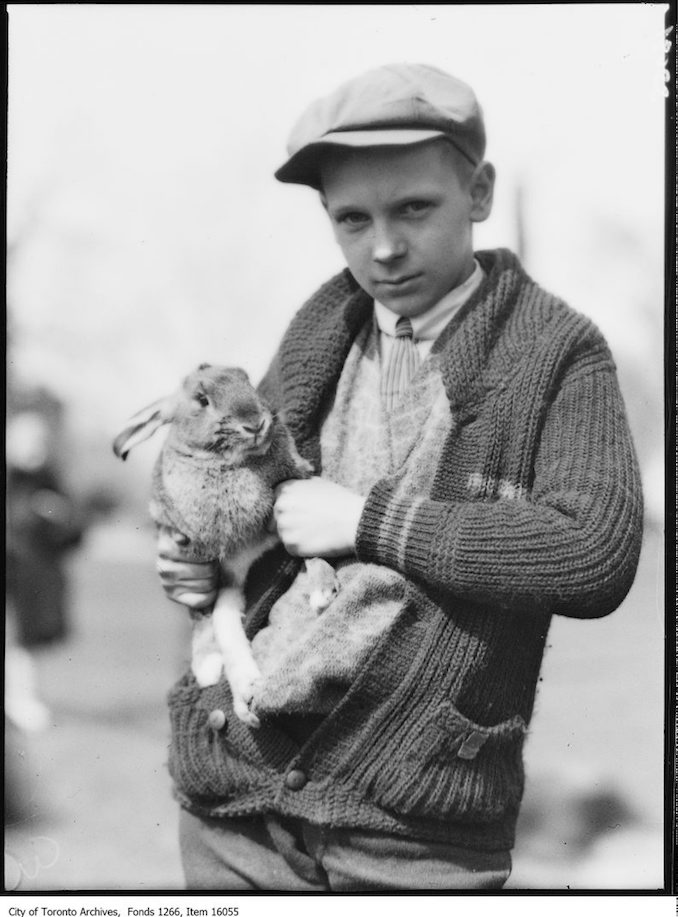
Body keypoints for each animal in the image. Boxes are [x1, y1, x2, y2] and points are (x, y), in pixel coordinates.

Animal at [112, 362, 324, 728]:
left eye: (246, 380)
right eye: (202, 399)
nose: (255, 423)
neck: (230, 464)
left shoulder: (282, 519)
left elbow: (310, 549)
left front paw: (325, 589)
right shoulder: (206, 560)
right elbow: (210, 621)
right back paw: (225, 681)